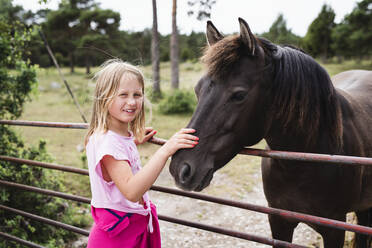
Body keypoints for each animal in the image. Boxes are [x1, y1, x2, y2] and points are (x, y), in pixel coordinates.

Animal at [169, 18, 372, 247]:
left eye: (239, 95)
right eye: (197, 89)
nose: (180, 168)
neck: (303, 162)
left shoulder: (334, 229)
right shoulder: (278, 221)